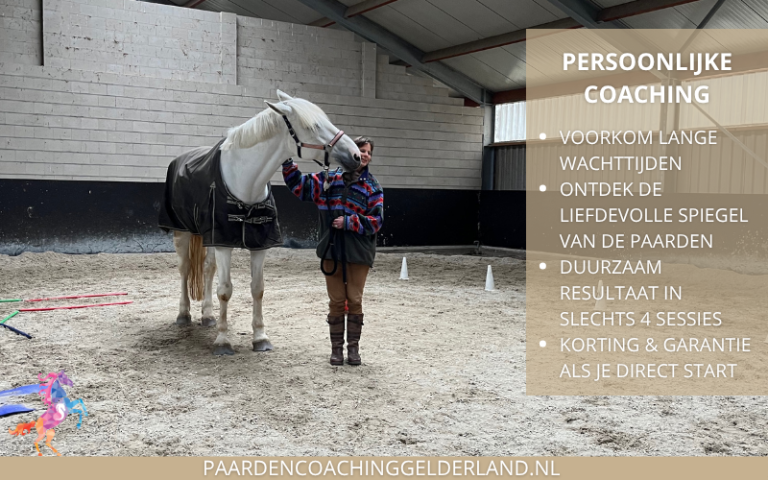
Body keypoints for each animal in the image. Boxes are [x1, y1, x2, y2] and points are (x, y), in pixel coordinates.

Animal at [159, 90, 361, 355]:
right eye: (312, 126)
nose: (356, 155)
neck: (245, 181)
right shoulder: (224, 243)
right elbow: (225, 290)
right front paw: (222, 341)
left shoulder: (258, 244)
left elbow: (258, 288)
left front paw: (260, 338)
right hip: (181, 233)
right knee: (184, 270)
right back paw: (183, 315)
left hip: (208, 238)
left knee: (207, 270)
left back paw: (208, 316)